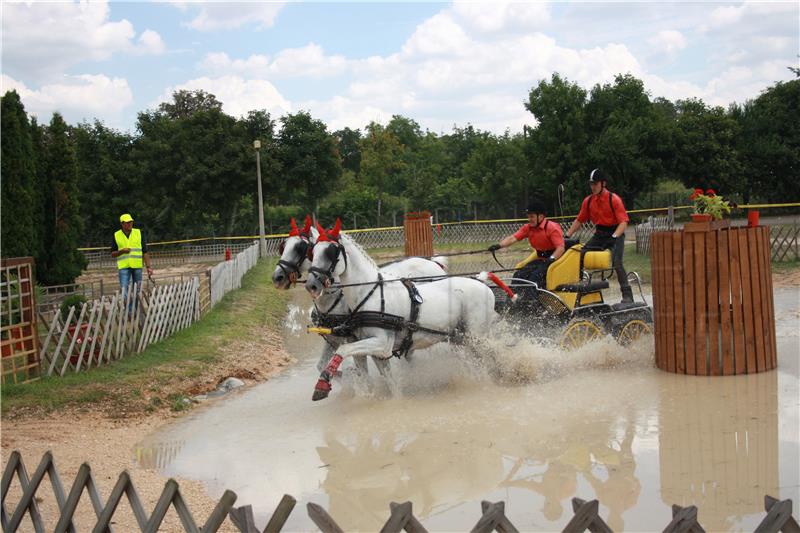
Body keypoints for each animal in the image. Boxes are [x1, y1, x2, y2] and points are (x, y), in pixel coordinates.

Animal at [272, 218, 450, 376]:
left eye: (300, 248)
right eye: (283, 247)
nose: (277, 277)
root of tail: (434, 262)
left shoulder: (352, 338)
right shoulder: (333, 340)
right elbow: (321, 365)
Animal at [304, 218, 496, 396]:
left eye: (330, 252)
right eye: (313, 252)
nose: (311, 285)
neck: (369, 294)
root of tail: (483, 284)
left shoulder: (382, 344)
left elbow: (343, 349)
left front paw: (322, 385)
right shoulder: (374, 351)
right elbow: (390, 383)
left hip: (476, 336)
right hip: (459, 337)